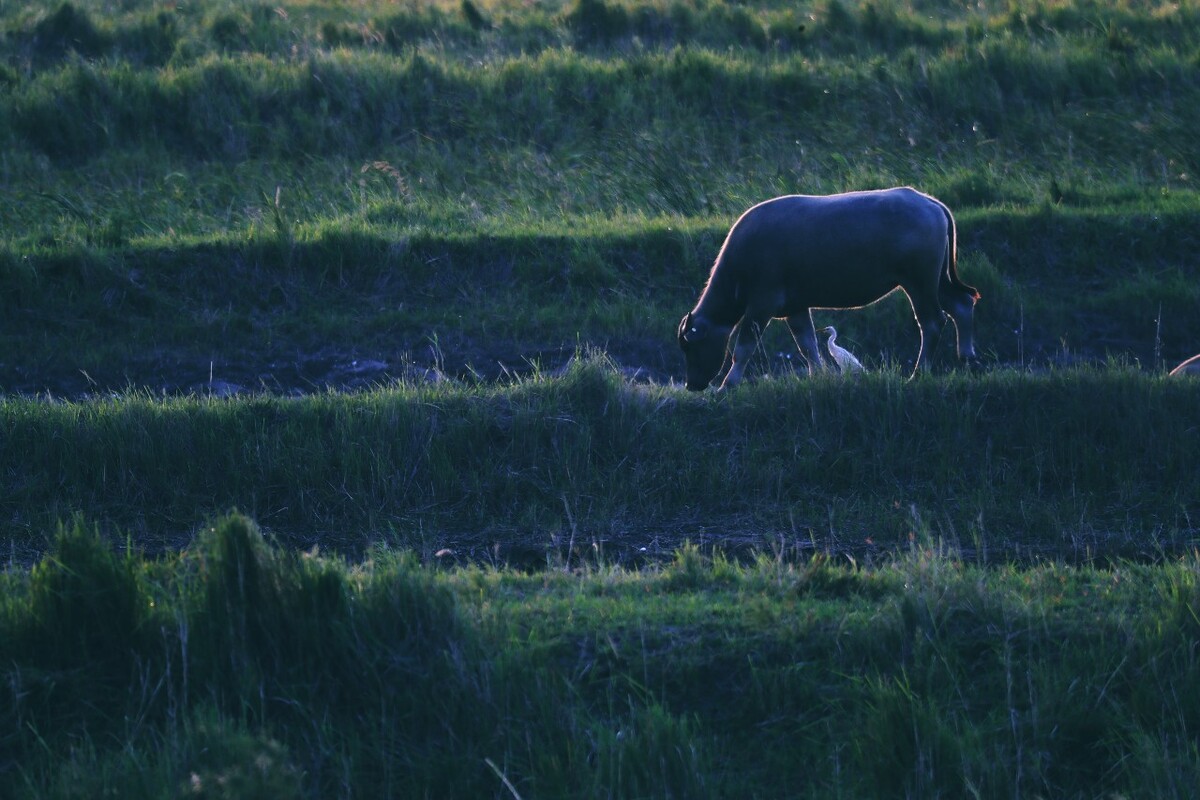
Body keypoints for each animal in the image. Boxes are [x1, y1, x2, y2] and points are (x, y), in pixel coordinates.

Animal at [681, 185, 979, 391]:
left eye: (691, 347)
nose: (690, 385)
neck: (743, 260)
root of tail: (929, 202)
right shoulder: (795, 308)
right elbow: (808, 346)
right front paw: (818, 375)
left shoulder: (761, 305)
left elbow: (743, 348)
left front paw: (727, 385)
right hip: (937, 280)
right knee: (961, 305)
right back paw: (966, 357)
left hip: (920, 281)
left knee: (932, 321)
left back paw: (919, 373)